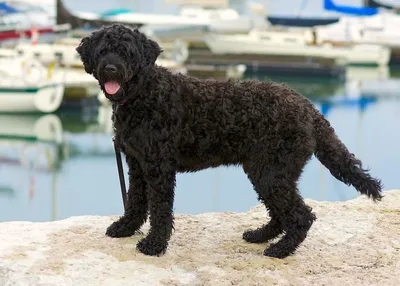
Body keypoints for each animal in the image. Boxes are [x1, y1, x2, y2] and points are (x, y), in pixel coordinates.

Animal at [76, 23, 382, 258]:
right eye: (103, 51)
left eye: (126, 52)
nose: (111, 68)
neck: (145, 94)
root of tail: (310, 109)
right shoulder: (137, 164)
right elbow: (136, 201)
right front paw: (125, 228)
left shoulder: (158, 168)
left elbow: (160, 209)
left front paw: (154, 245)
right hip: (267, 172)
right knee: (280, 213)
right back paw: (261, 235)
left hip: (271, 172)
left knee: (300, 216)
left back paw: (280, 250)